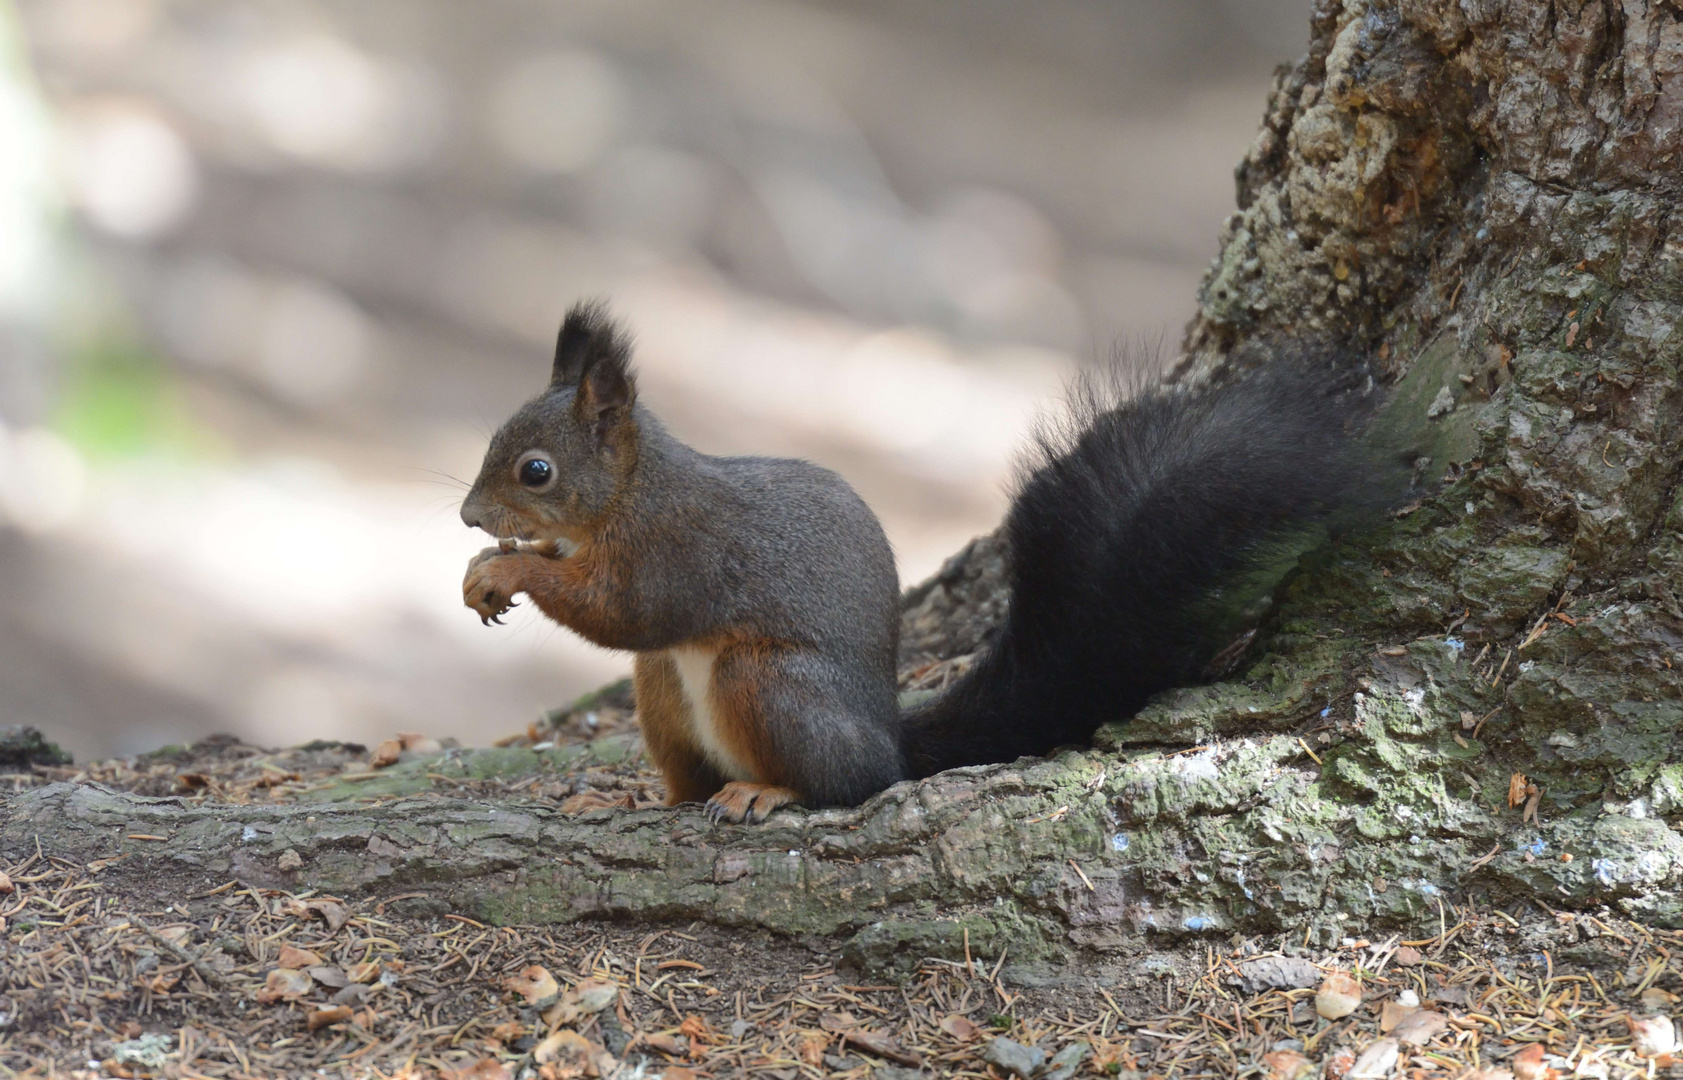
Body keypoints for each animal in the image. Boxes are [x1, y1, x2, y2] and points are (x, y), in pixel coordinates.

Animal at [457, 299, 1366, 820]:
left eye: (535, 470)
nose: (468, 516)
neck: (629, 494)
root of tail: (889, 740)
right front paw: (484, 573)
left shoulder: (678, 551)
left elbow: (623, 612)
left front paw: (508, 570)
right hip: (662, 697)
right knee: (690, 777)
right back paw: (639, 800)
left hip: (768, 682)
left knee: (846, 783)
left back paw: (769, 789)